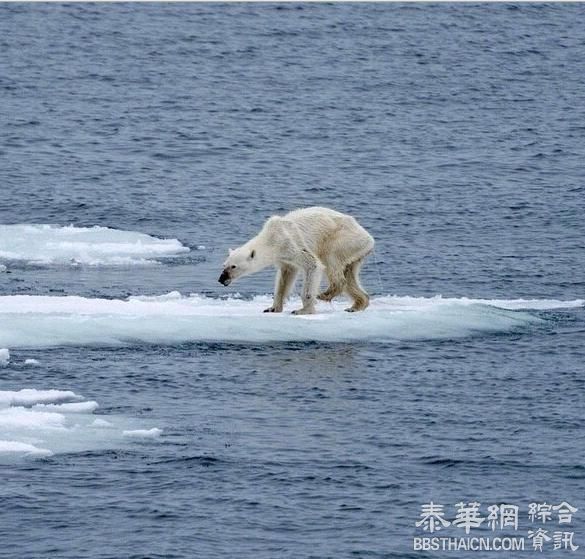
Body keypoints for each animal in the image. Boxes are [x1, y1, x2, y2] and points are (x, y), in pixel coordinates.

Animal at [218, 208, 374, 318]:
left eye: (233, 266)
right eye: (224, 265)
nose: (221, 279)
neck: (271, 238)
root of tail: (369, 238)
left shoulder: (291, 244)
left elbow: (313, 265)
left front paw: (303, 310)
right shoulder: (284, 257)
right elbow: (285, 277)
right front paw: (272, 308)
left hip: (343, 239)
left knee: (331, 260)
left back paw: (325, 294)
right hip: (355, 251)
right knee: (349, 274)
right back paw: (356, 305)